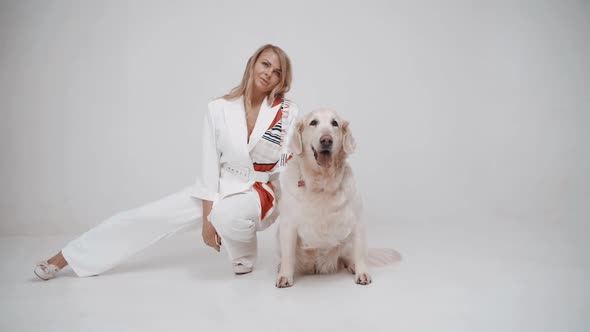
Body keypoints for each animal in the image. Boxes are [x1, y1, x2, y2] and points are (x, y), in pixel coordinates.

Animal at [276, 109, 398, 288]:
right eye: (313, 123)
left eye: (335, 123)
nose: (326, 140)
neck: (322, 182)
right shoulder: (287, 225)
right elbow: (288, 255)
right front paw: (285, 275)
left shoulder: (358, 222)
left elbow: (360, 254)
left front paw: (362, 272)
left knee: (350, 256)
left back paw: (353, 265)